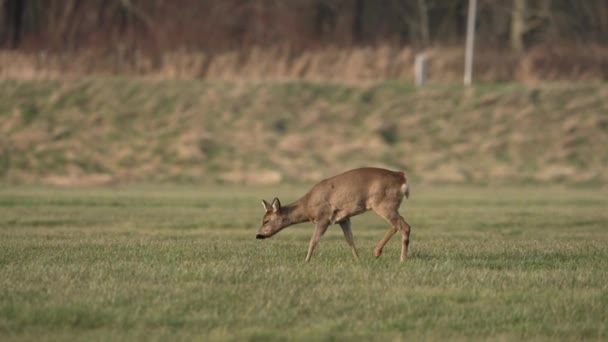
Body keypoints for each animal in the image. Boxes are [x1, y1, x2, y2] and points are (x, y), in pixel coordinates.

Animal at [254, 168, 410, 262]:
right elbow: (350, 240)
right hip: (389, 206)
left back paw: (402, 259)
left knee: (404, 226)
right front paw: (358, 260)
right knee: (397, 225)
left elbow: (313, 240)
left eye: (266, 220)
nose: (258, 235)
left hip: (383, 204)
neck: (307, 206)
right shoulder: (343, 218)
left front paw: (306, 261)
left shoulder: (323, 217)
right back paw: (377, 252)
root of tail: (401, 177)